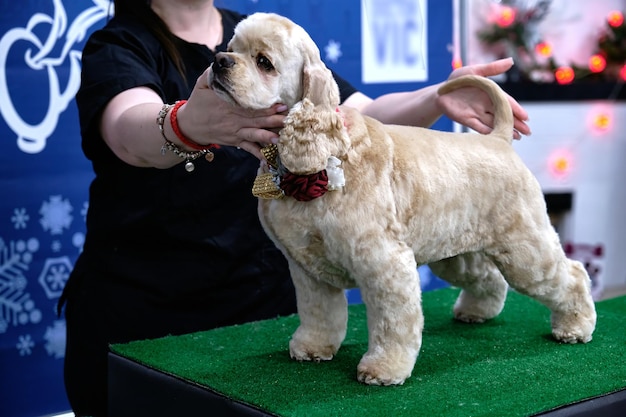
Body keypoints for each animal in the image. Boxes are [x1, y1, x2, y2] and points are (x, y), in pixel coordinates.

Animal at [208, 12, 596, 384]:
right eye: (231, 47)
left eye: (264, 61)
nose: (219, 61)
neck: (324, 154)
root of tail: (498, 140)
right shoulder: (308, 269)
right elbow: (319, 314)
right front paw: (313, 347)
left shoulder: (383, 261)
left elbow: (392, 323)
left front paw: (383, 368)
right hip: (457, 252)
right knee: (489, 278)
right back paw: (475, 312)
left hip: (525, 250)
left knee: (572, 274)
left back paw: (575, 326)